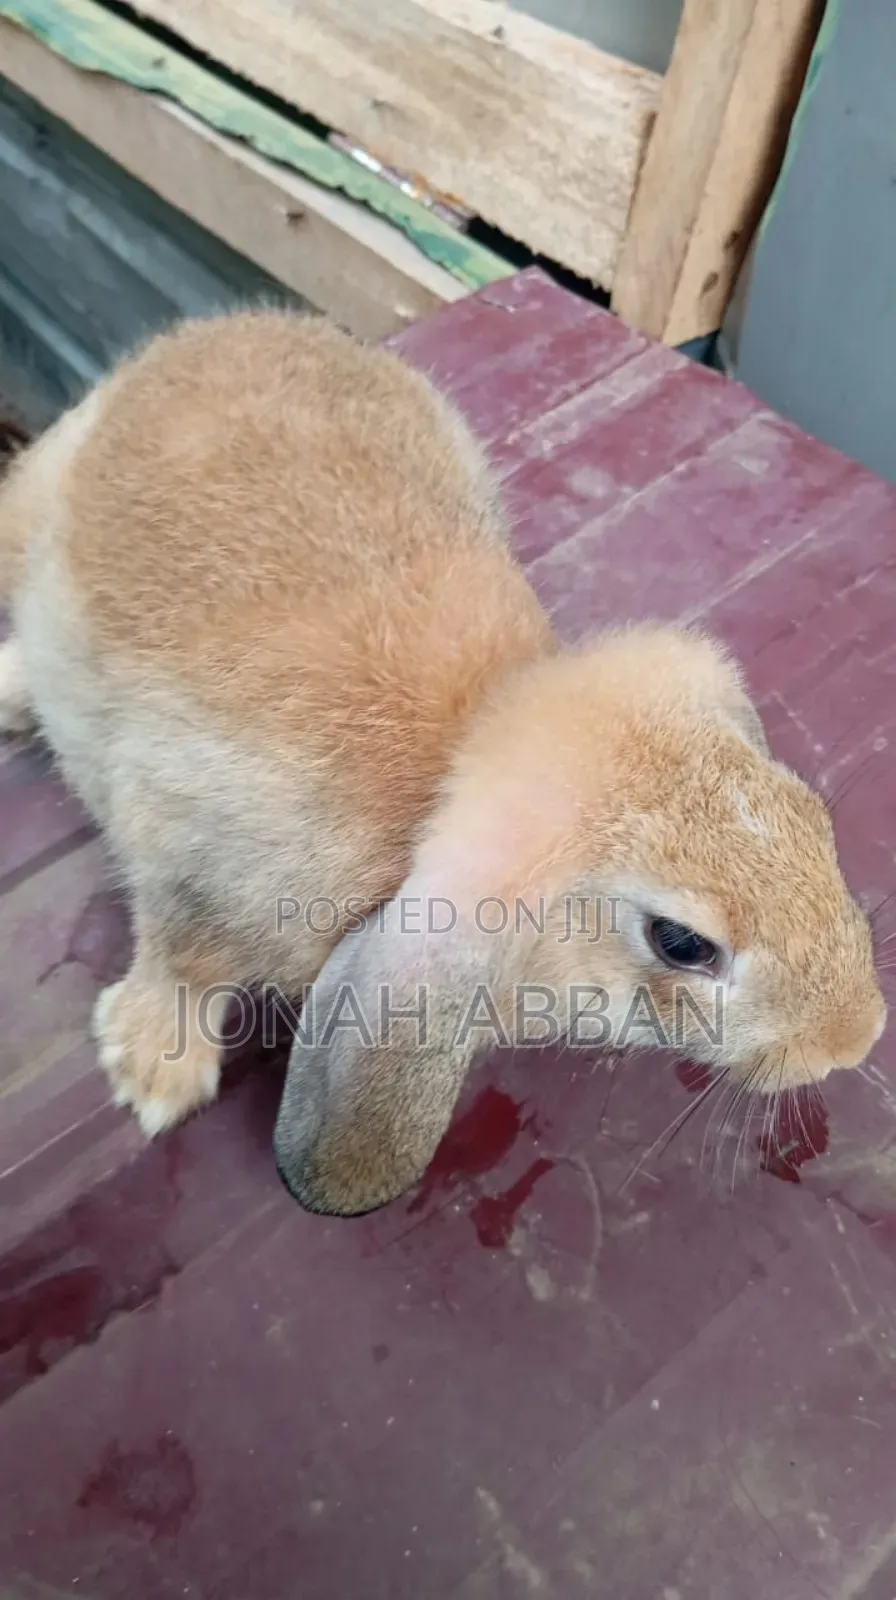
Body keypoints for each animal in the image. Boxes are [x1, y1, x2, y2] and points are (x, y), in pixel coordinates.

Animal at [0, 307, 885, 1217]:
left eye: (815, 819)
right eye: (681, 943)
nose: (852, 1041)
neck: (460, 750)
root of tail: (219, 329)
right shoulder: (191, 859)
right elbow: (183, 964)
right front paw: (152, 1074)